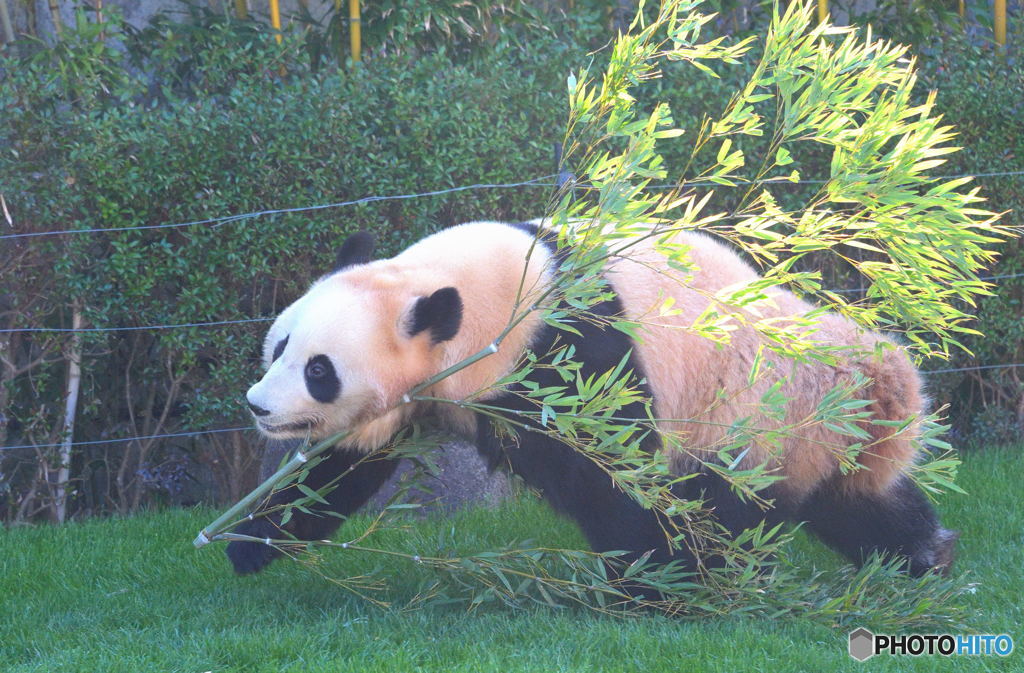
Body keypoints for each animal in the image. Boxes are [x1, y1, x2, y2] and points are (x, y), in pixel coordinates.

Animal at [226, 220, 958, 577]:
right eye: (279, 344)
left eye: (319, 369)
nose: (259, 405)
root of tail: (865, 380)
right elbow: (337, 467)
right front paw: (250, 541)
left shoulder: (564, 355)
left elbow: (613, 469)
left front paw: (649, 575)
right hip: (817, 435)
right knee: (855, 500)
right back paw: (925, 553)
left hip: (752, 410)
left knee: (722, 500)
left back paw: (703, 574)